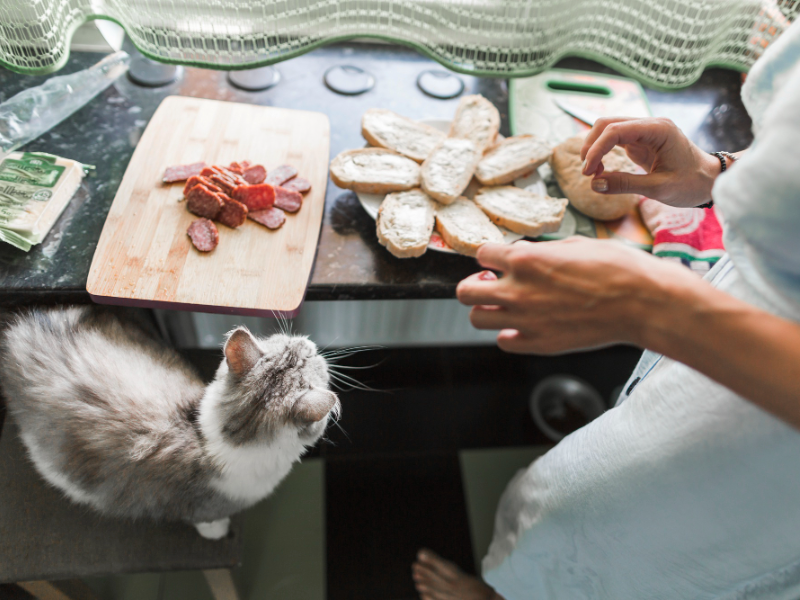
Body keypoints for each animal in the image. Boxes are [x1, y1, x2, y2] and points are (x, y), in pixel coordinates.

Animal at [0, 310, 338, 540]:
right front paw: (218, 530)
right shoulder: (209, 504)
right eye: (309, 354)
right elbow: (210, 522)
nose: (309, 342)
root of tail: (20, 331)